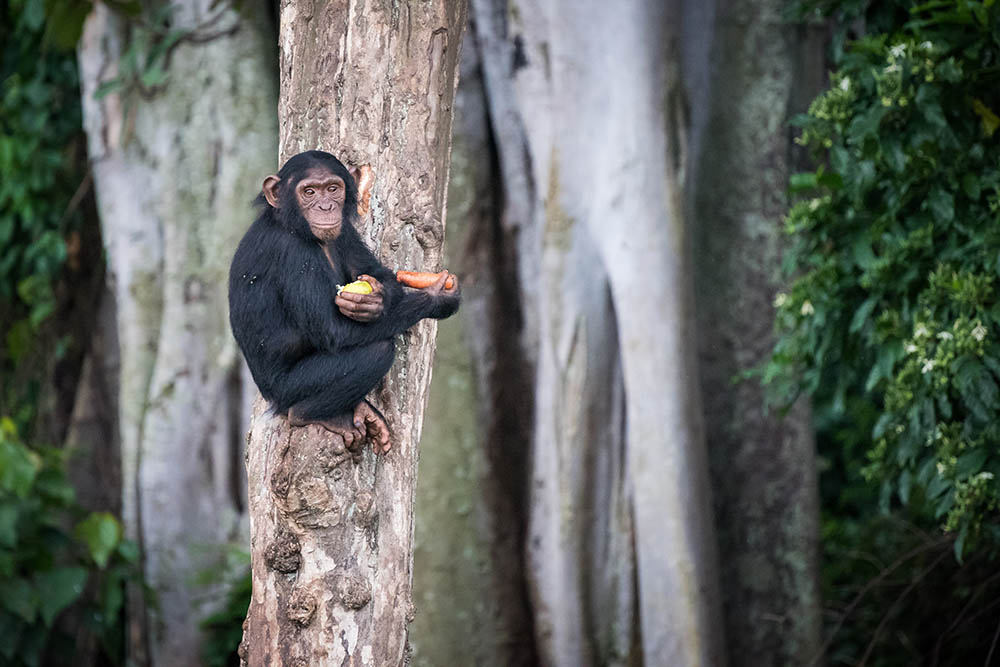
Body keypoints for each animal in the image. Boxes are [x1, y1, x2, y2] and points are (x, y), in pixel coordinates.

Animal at [229, 151, 458, 454]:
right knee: (377, 350)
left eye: (332, 188)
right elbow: (334, 330)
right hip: (289, 389)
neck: (292, 225)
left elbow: (380, 273)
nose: (325, 206)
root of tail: (268, 395)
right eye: (309, 192)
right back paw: (314, 414)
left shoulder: (346, 230)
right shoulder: (293, 253)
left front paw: (375, 301)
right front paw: (438, 297)